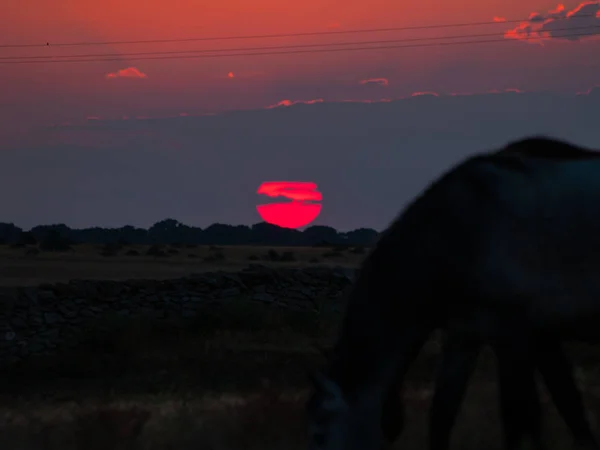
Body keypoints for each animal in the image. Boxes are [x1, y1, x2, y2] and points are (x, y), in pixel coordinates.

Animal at [308, 137, 600, 450]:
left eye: (319, 435)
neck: (459, 231)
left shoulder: (515, 337)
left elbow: (521, 418)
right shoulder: (467, 337)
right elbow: (442, 417)